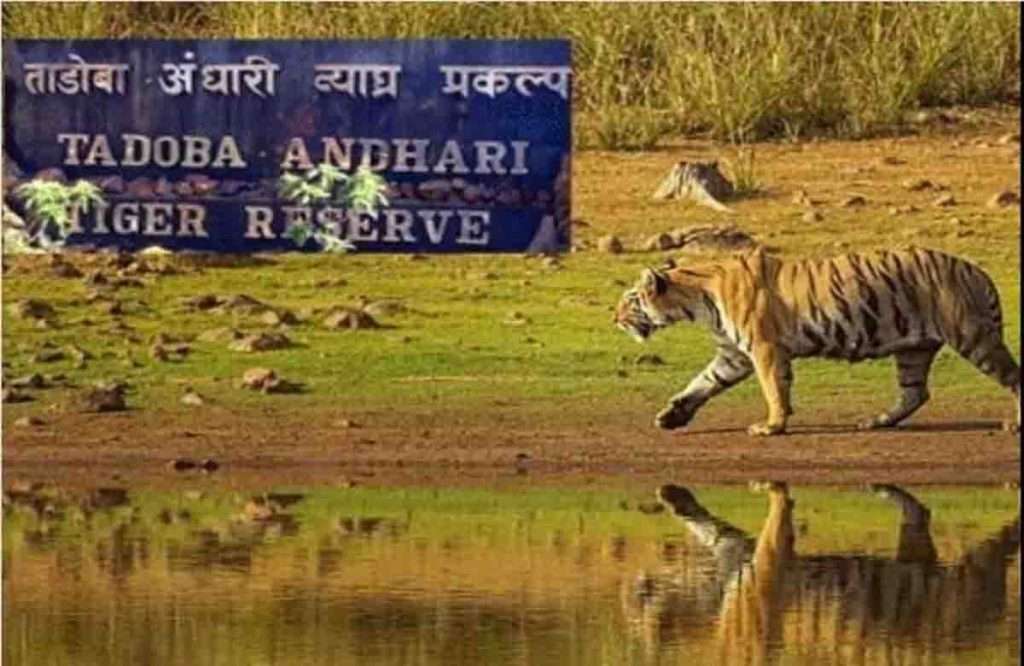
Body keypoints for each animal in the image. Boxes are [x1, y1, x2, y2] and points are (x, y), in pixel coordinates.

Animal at [610, 244, 1019, 436]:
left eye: (631, 299)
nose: (614, 318)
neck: (697, 299)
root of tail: (977, 270)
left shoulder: (764, 348)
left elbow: (774, 389)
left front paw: (772, 426)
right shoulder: (733, 355)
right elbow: (703, 382)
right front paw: (671, 415)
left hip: (973, 338)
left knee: (1013, 377)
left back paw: (1014, 425)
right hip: (913, 349)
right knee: (915, 393)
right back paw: (877, 422)